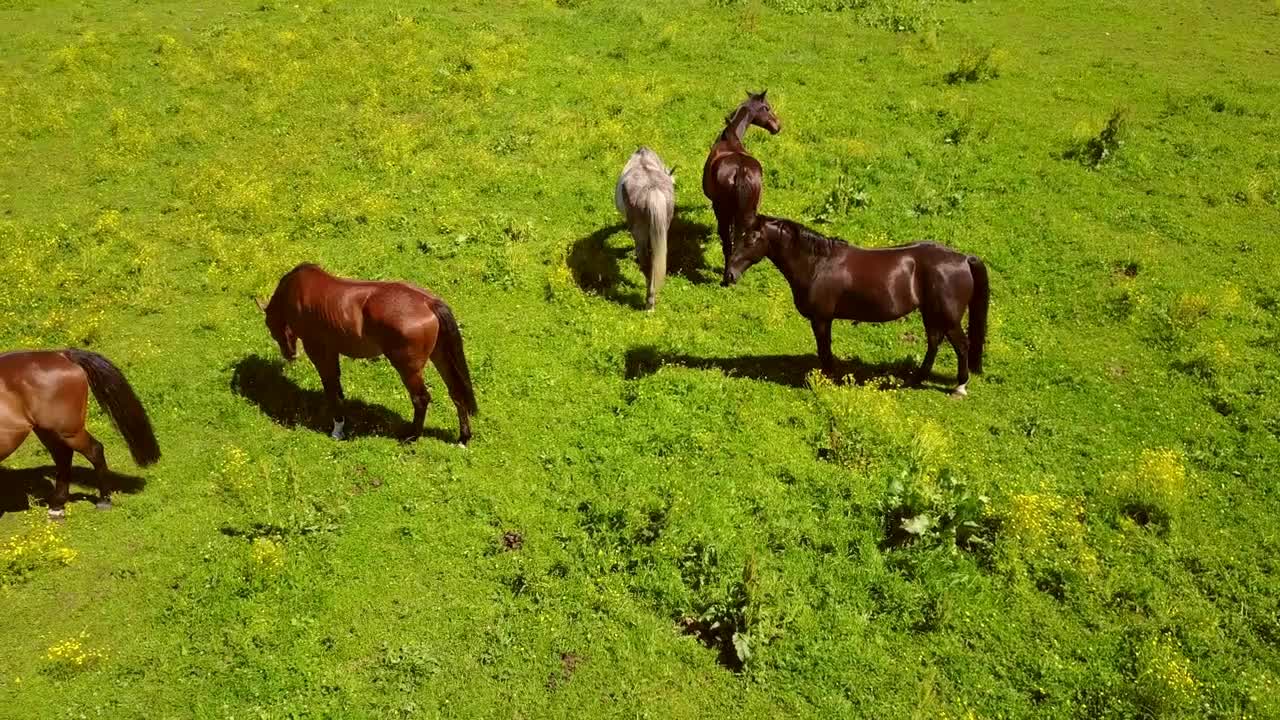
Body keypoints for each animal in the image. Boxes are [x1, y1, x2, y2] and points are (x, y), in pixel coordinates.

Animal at [0, 348, 160, 515]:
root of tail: (61, 354)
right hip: (48, 430)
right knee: (63, 457)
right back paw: (57, 506)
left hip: (68, 431)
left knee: (93, 451)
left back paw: (103, 501)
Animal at [257, 263, 478, 443]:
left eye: (270, 326)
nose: (289, 355)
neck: (296, 290)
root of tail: (428, 302)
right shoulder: (332, 350)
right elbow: (337, 387)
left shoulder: (319, 351)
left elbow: (331, 389)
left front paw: (337, 429)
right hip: (441, 357)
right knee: (456, 392)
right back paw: (463, 438)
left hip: (408, 368)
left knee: (421, 399)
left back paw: (412, 437)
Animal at [721, 215, 988, 394]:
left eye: (751, 239)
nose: (729, 275)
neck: (817, 264)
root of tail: (964, 259)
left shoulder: (821, 319)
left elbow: (824, 349)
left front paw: (827, 380)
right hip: (931, 313)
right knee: (934, 342)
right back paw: (914, 380)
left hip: (948, 317)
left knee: (961, 345)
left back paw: (959, 387)